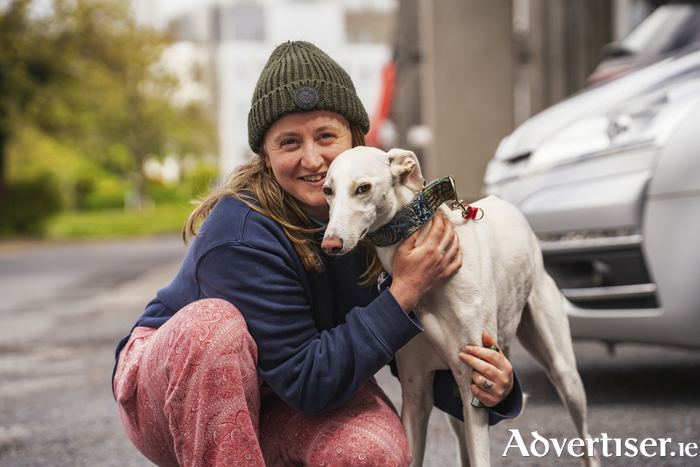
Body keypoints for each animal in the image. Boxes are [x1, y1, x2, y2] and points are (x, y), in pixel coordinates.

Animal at [320, 147, 600, 467]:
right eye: (327, 190)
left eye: (363, 188)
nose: (330, 245)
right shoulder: (415, 393)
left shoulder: (474, 389)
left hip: (563, 371)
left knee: (584, 433)